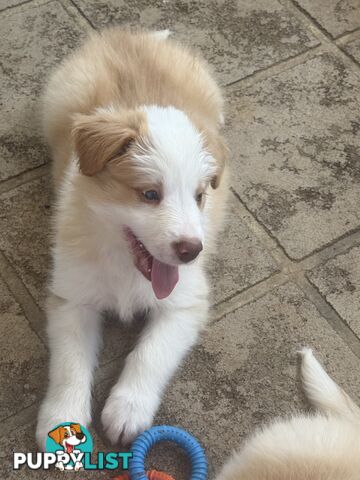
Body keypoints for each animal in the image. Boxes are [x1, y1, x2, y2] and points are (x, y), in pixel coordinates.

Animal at [36, 28, 228, 448]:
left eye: (199, 197)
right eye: (150, 194)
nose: (191, 252)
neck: (126, 266)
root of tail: (131, 35)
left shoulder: (185, 303)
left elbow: (150, 354)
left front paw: (127, 410)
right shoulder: (73, 297)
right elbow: (69, 363)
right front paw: (62, 419)